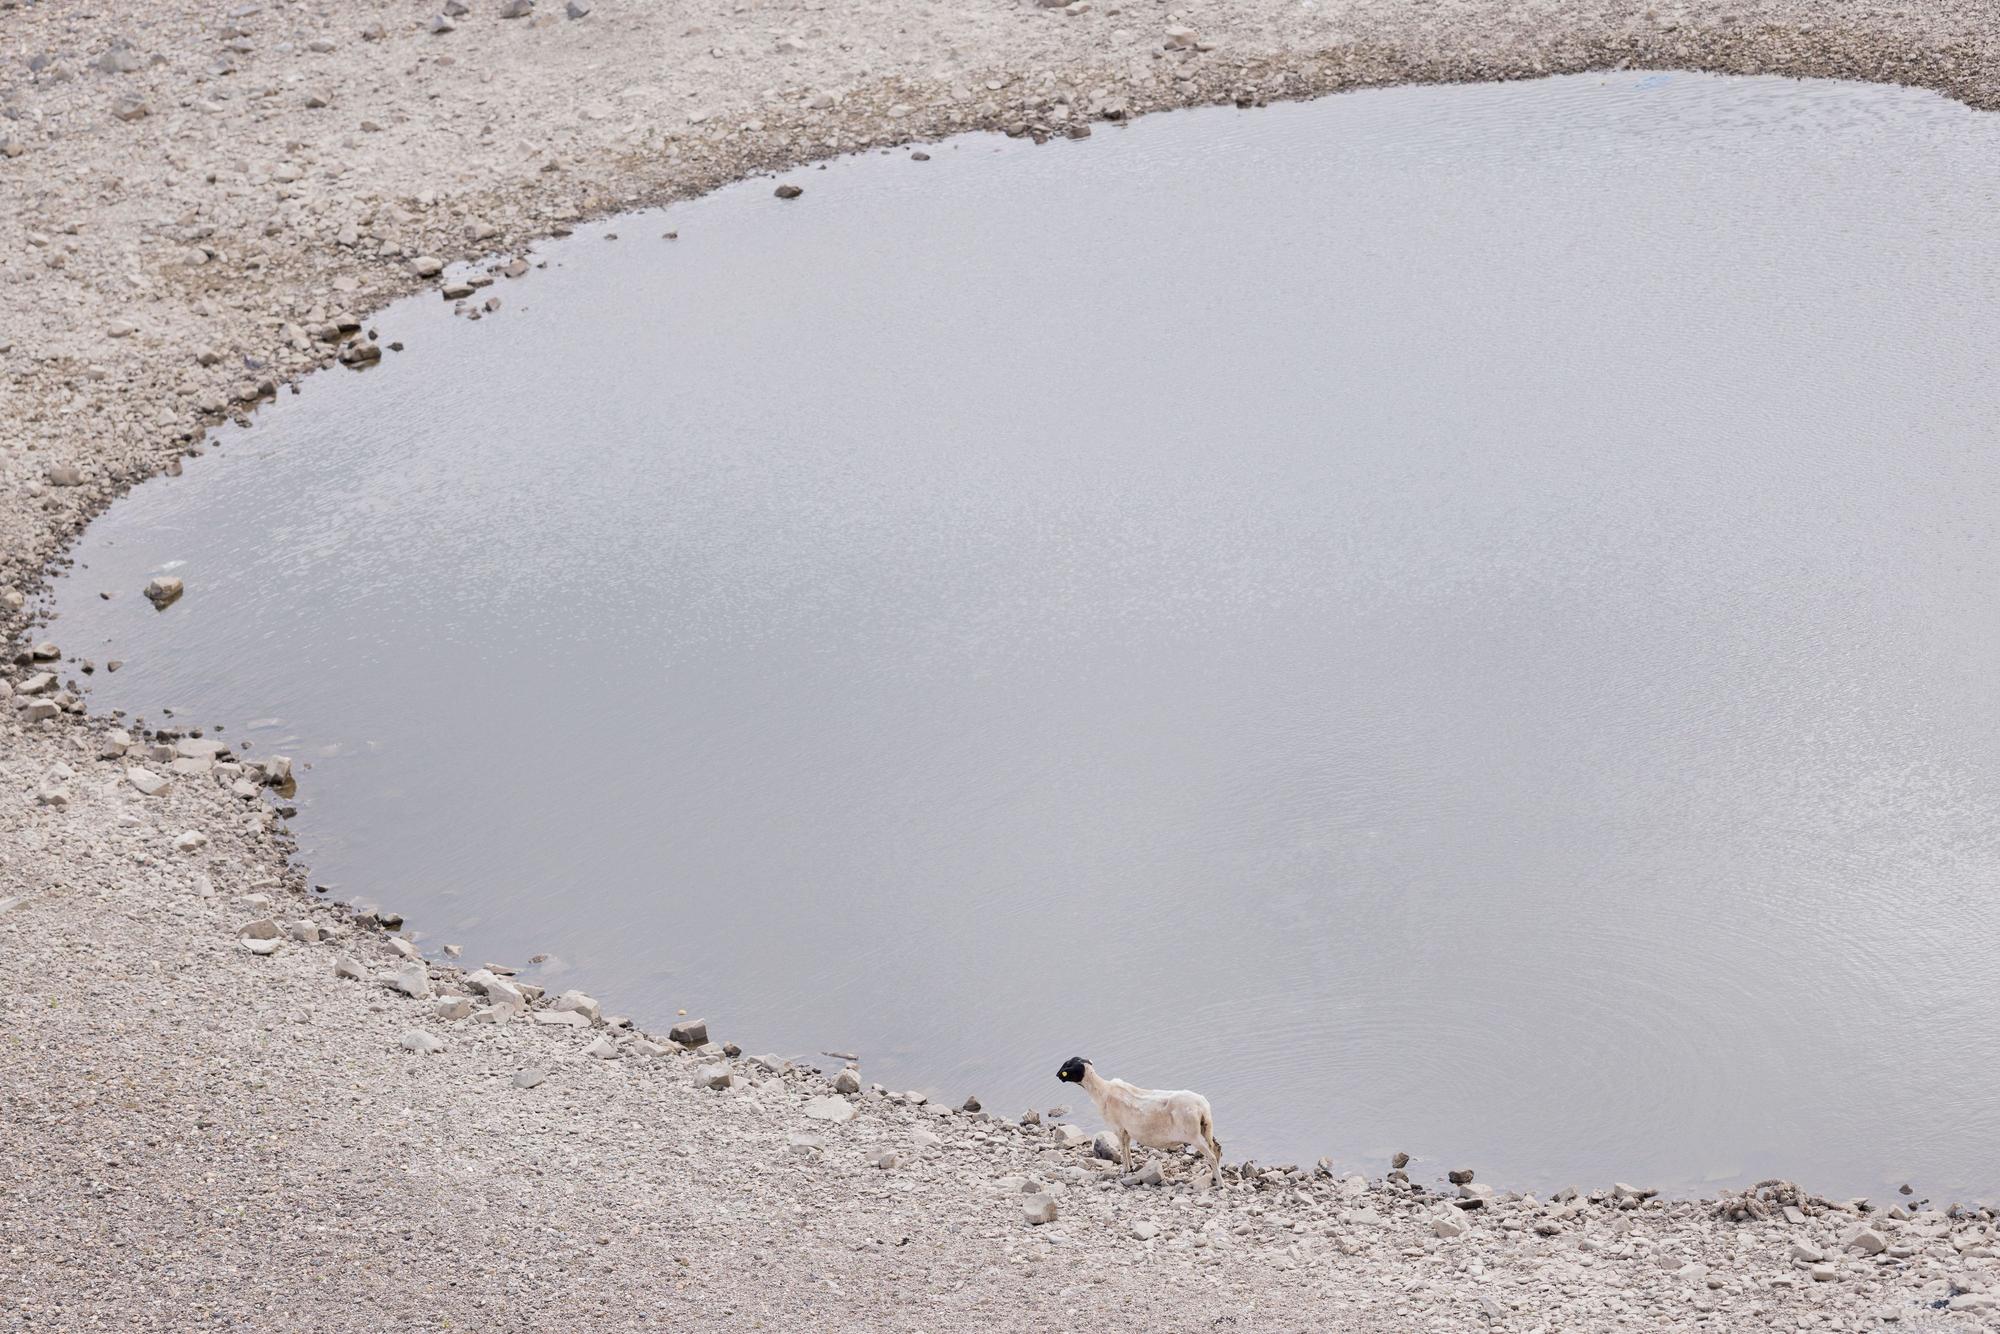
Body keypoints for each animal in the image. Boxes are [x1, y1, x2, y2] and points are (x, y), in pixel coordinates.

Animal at [1056, 1056, 1222, 1183]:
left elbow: (1122, 1148)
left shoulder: (1118, 1128)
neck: (1101, 1090)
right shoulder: (1127, 1130)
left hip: (1193, 1134)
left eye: (1067, 1065)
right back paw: (1214, 1176)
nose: (1057, 1075)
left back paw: (1220, 1183)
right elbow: (1128, 1148)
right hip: (1206, 1127)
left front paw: (1124, 1169)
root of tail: (1202, 1106)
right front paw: (1130, 1167)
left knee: (1211, 1156)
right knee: (1216, 1148)